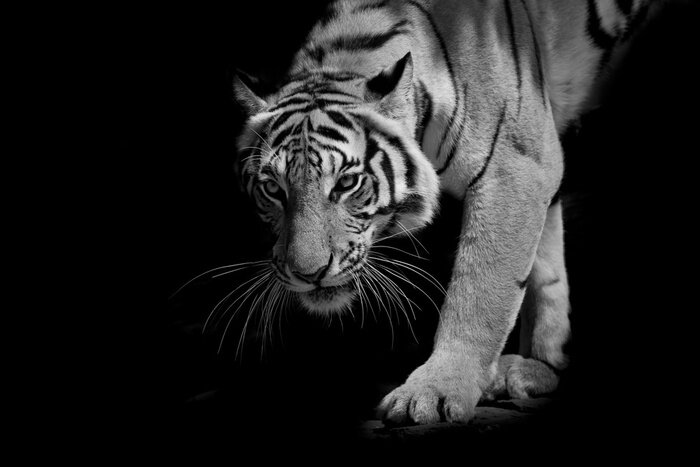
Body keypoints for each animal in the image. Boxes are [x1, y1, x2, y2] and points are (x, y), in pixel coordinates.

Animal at [232, 0, 661, 425]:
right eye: (273, 189)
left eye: (346, 183)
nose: (308, 274)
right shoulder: (539, 163)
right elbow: (546, 270)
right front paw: (539, 365)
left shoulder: (514, 166)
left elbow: (480, 293)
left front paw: (435, 390)